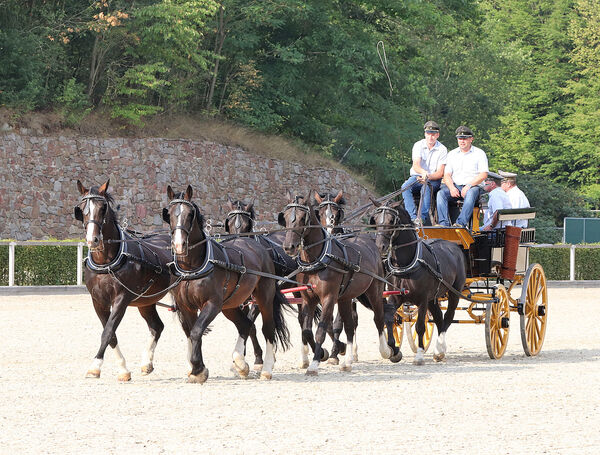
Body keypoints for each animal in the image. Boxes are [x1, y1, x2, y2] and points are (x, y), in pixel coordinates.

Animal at [73, 180, 175, 382]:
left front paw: (95, 366)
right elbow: (111, 335)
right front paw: (122, 369)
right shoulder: (98, 301)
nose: (92, 240)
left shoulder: (121, 299)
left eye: (103, 208)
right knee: (157, 327)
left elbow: (107, 332)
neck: (106, 262)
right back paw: (147, 363)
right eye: (81, 209)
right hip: (146, 301)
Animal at [162, 186, 288, 384]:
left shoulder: (213, 304)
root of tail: (256, 245)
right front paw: (197, 368)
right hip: (231, 304)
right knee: (245, 325)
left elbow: (196, 331)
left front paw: (198, 369)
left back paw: (266, 368)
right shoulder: (186, 306)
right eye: (169, 214)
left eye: (190, 214)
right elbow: (191, 332)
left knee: (268, 328)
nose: (179, 245)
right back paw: (240, 363)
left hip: (264, 297)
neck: (192, 267)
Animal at [278, 191, 396, 376]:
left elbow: (320, 331)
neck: (317, 259)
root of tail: (371, 243)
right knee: (350, 325)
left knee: (379, 317)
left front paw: (314, 363)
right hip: (346, 298)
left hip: (374, 292)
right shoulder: (308, 299)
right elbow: (307, 330)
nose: (289, 247)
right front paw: (321, 354)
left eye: (303, 217)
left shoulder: (328, 298)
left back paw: (386, 350)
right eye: (285, 217)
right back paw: (347, 361)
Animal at [368, 201, 466, 366]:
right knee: (439, 317)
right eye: (375, 219)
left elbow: (420, 326)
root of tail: (454, 247)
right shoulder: (395, 297)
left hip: (454, 292)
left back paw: (439, 349)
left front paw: (419, 355)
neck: (406, 264)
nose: (380, 246)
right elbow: (389, 319)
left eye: (391, 220)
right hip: (434, 298)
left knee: (448, 316)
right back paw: (439, 351)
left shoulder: (423, 299)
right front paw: (392, 350)